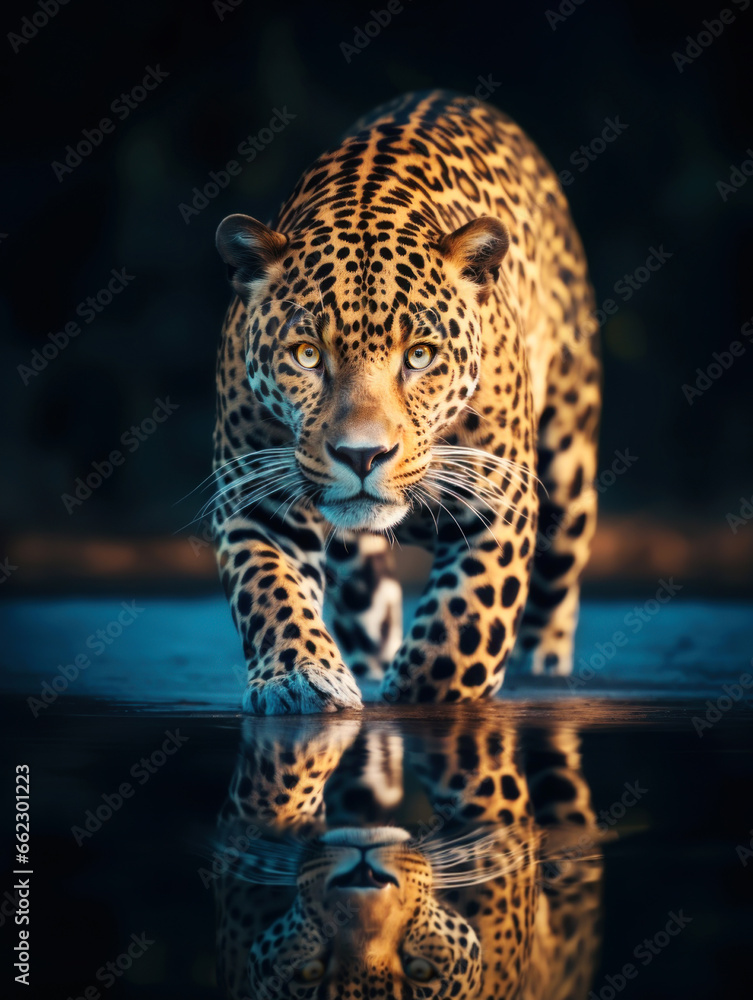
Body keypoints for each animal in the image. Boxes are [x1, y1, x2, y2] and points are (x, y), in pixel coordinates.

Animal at [210, 90, 601, 714]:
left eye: (419, 356)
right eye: (307, 355)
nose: (362, 456)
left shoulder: (501, 500)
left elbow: (464, 630)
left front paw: (420, 693)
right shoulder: (256, 500)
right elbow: (269, 595)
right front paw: (300, 676)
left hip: (569, 453)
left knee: (560, 568)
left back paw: (543, 662)